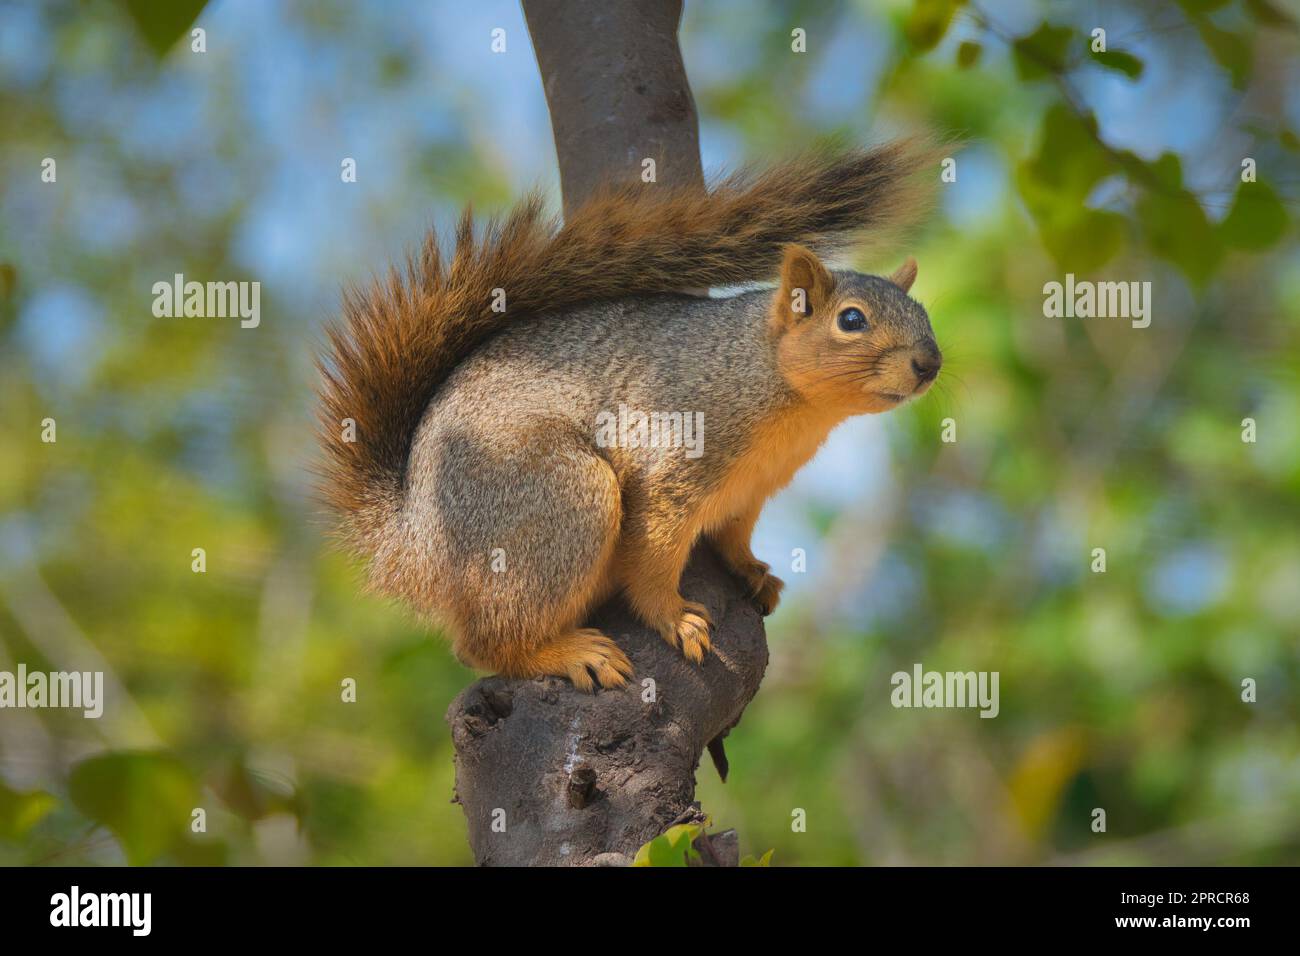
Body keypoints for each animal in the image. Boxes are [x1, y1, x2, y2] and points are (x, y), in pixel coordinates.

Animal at [317, 138, 945, 691]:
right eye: (852, 320)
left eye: (924, 313)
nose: (930, 362)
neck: (778, 390)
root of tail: (413, 545)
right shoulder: (674, 458)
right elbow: (652, 552)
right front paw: (674, 617)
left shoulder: (753, 488)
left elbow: (735, 533)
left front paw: (751, 570)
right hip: (556, 497)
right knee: (483, 645)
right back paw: (569, 654)